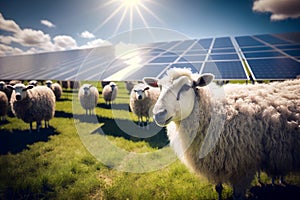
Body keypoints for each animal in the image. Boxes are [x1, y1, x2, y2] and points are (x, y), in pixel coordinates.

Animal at [144, 67, 300, 200]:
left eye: (186, 87)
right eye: (159, 87)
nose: (158, 114)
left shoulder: (242, 168)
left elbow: (237, 195)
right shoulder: (216, 163)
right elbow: (218, 188)